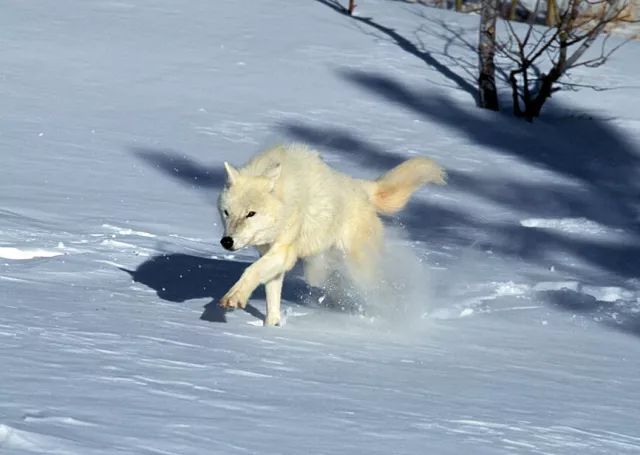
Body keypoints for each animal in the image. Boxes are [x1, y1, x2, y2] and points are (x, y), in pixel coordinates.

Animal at [216, 144, 444, 326]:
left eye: (251, 214)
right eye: (227, 213)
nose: (226, 242)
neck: (286, 201)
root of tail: (362, 187)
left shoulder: (284, 252)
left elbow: (250, 271)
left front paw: (233, 298)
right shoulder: (269, 255)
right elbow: (270, 295)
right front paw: (270, 327)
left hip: (360, 272)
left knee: (382, 288)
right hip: (321, 269)